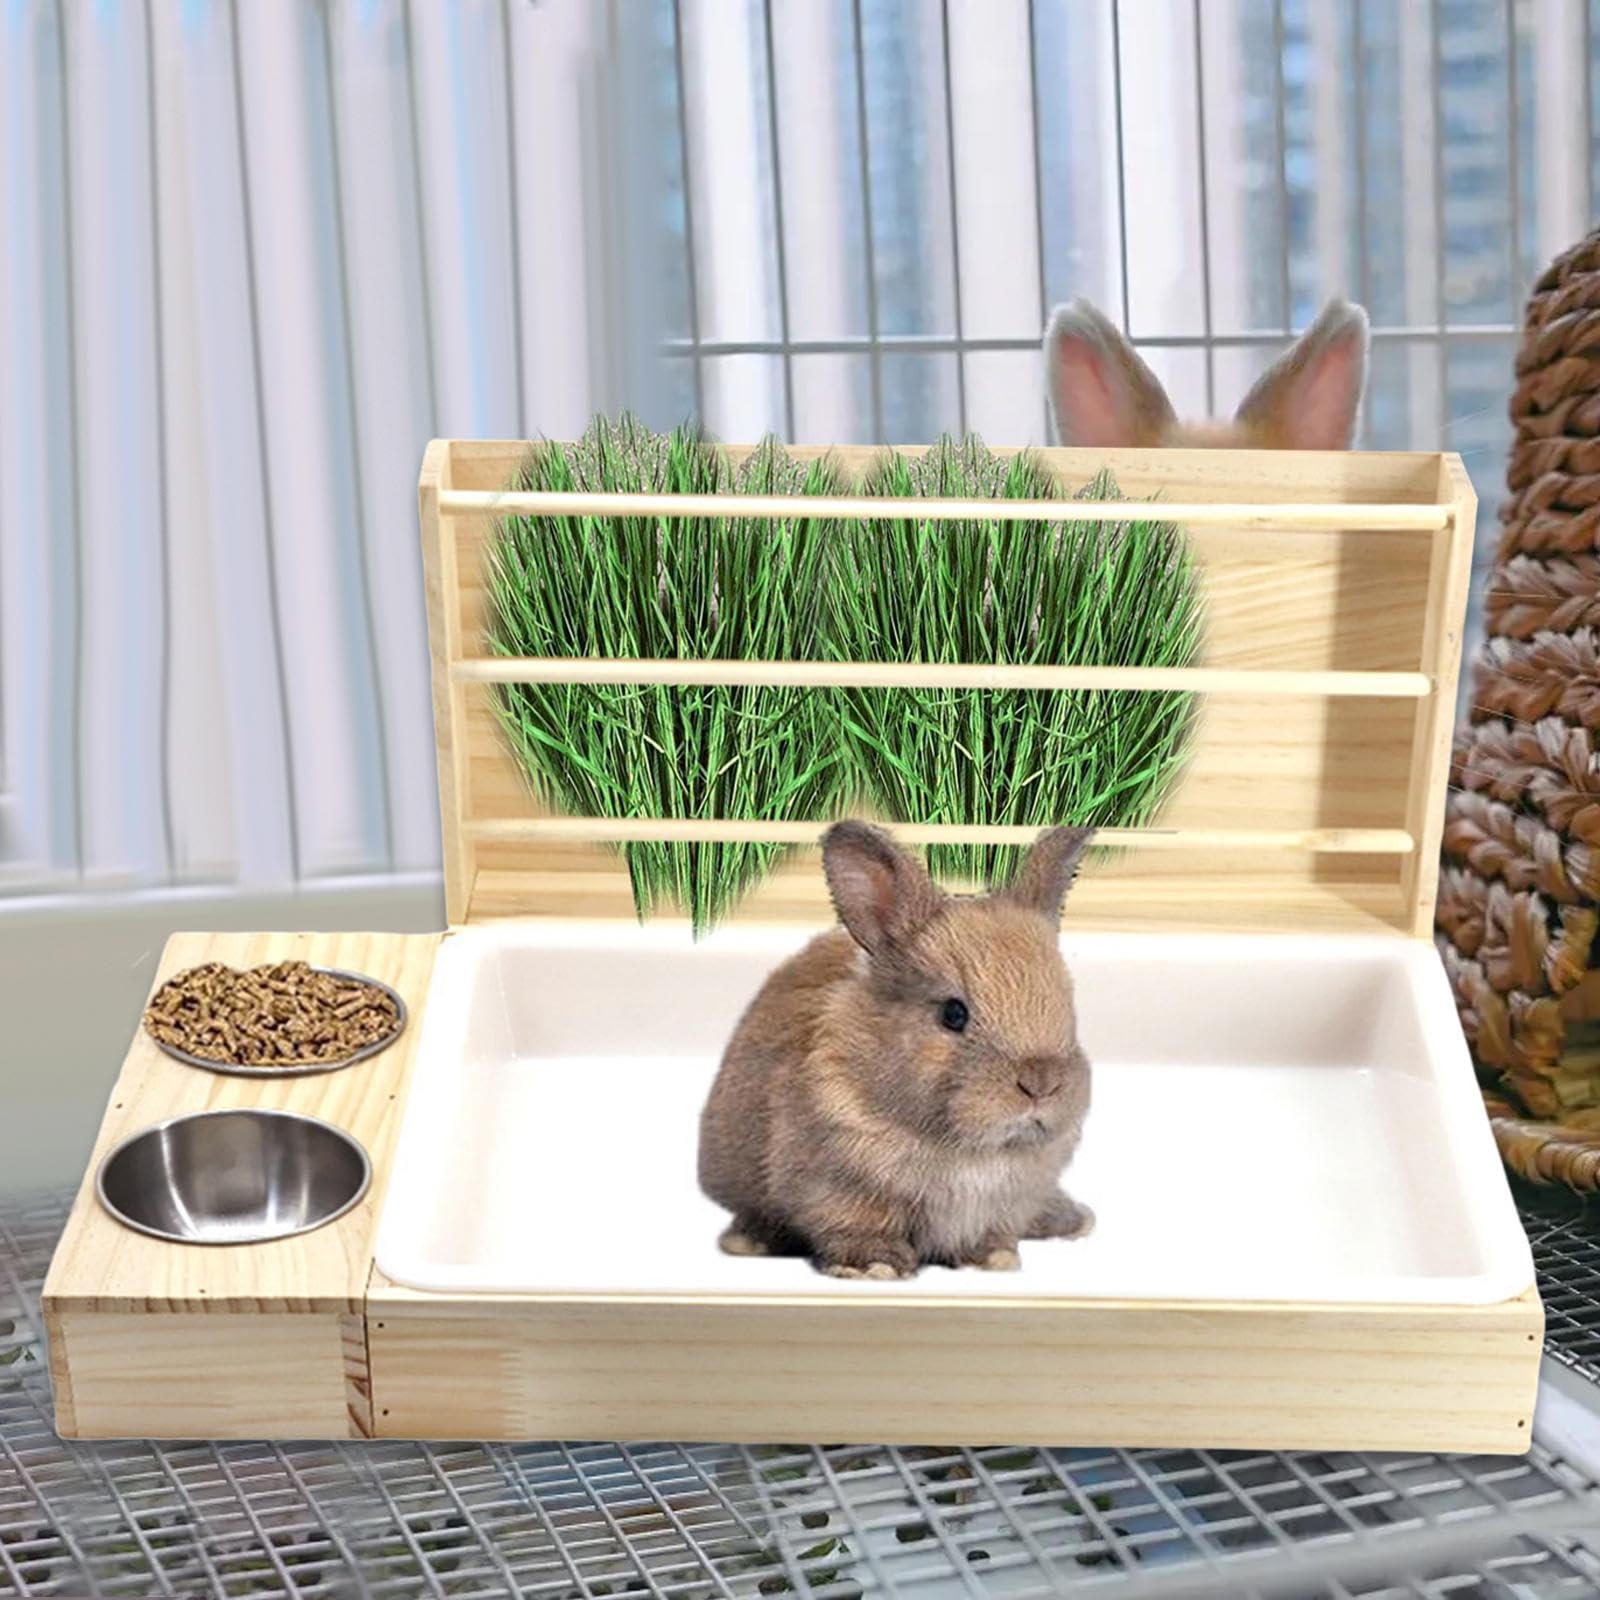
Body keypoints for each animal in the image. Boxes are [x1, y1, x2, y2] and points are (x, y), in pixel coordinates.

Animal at [697, 821, 1097, 1280]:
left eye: (1067, 1000)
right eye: (953, 1014)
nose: (1041, 1084)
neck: (970, 1151)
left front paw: (993, 1259)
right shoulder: (842, 1190)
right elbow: (858, 1226)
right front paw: (875, 1266)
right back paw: (750, 1241)